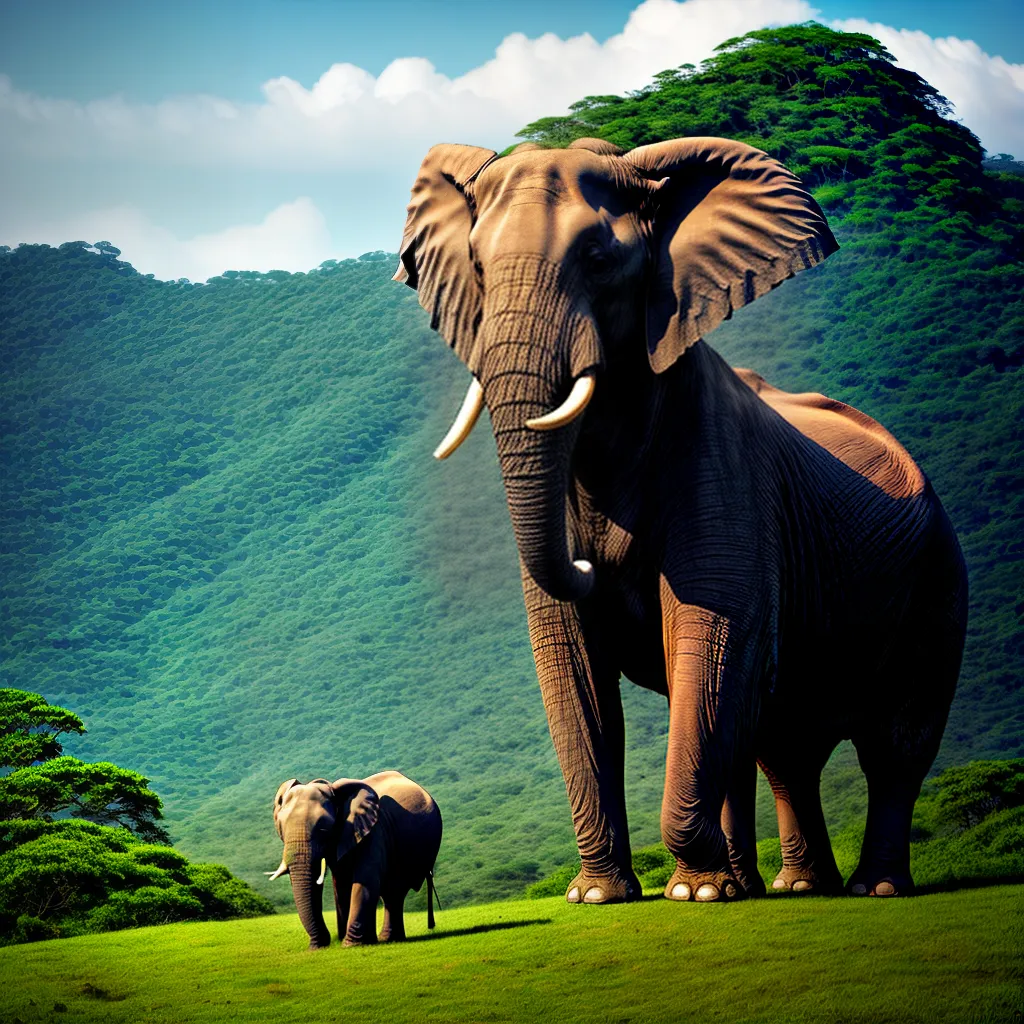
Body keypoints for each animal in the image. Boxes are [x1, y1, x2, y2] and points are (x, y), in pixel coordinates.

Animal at [269, 771, 441, 948]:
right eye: (281, 828)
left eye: (324, 829)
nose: (320, 944)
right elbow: (341, 883)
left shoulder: (373, 830)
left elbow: (365, 879)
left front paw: (349, 945)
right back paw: (381, 939)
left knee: (394, 891)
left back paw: (387, 939)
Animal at [395, 136, 967, 904]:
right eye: (478, 267)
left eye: (598, 259)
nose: (590, 560)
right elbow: (577, 668)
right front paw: (602, 896)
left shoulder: (719, 464)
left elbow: (711, 636)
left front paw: (695, 893)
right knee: (785, 746)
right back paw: (792, 888)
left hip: (938, 576)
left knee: (895, 743)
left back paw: (868, 888)